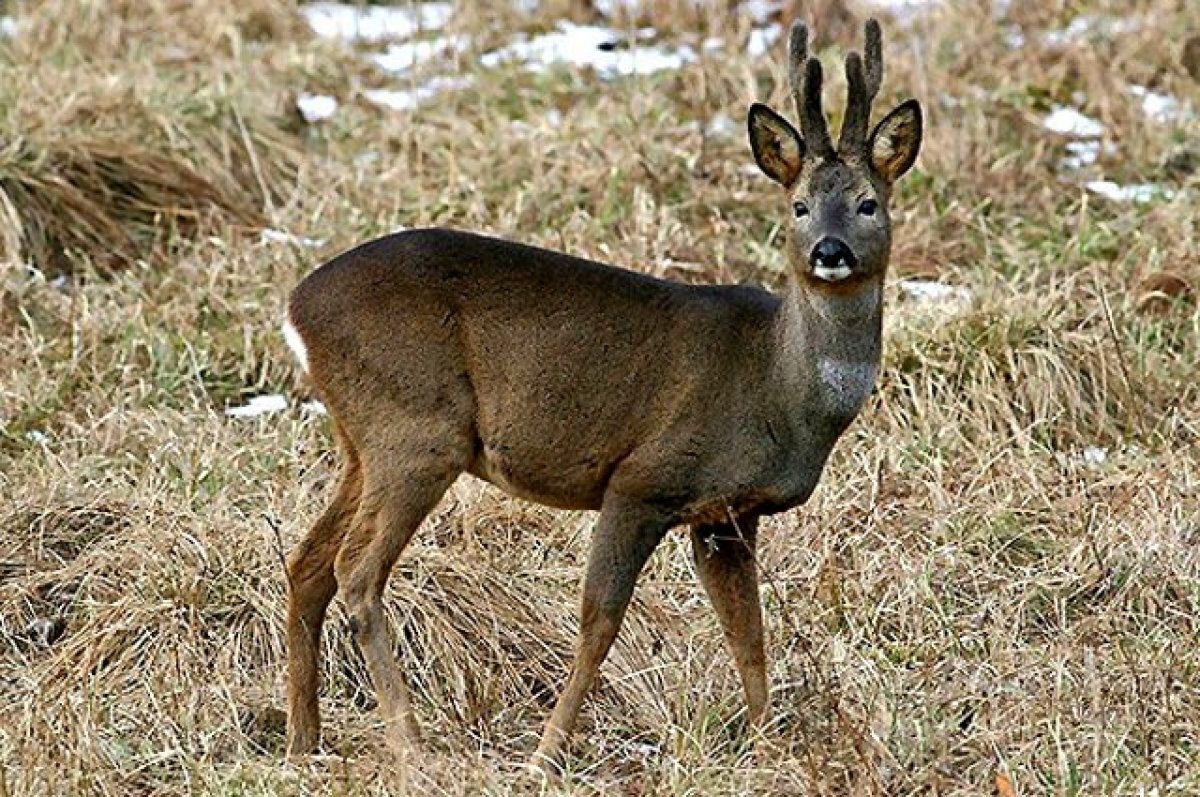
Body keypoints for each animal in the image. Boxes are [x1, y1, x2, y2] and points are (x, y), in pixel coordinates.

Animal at [280, 18, 916, 772]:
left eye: (869, 203)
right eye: (799, 205)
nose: (829, 251)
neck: (777, 383)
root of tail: (296, 310)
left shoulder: (726, 515)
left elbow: (749, 635)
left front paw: (767, 748)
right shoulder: (644, 478)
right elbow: (599, 623)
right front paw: (545, 754)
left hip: (364, 440)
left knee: (307, 561)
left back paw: (303, 741)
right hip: (415, 429)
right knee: (355, 568)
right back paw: (411, 748)